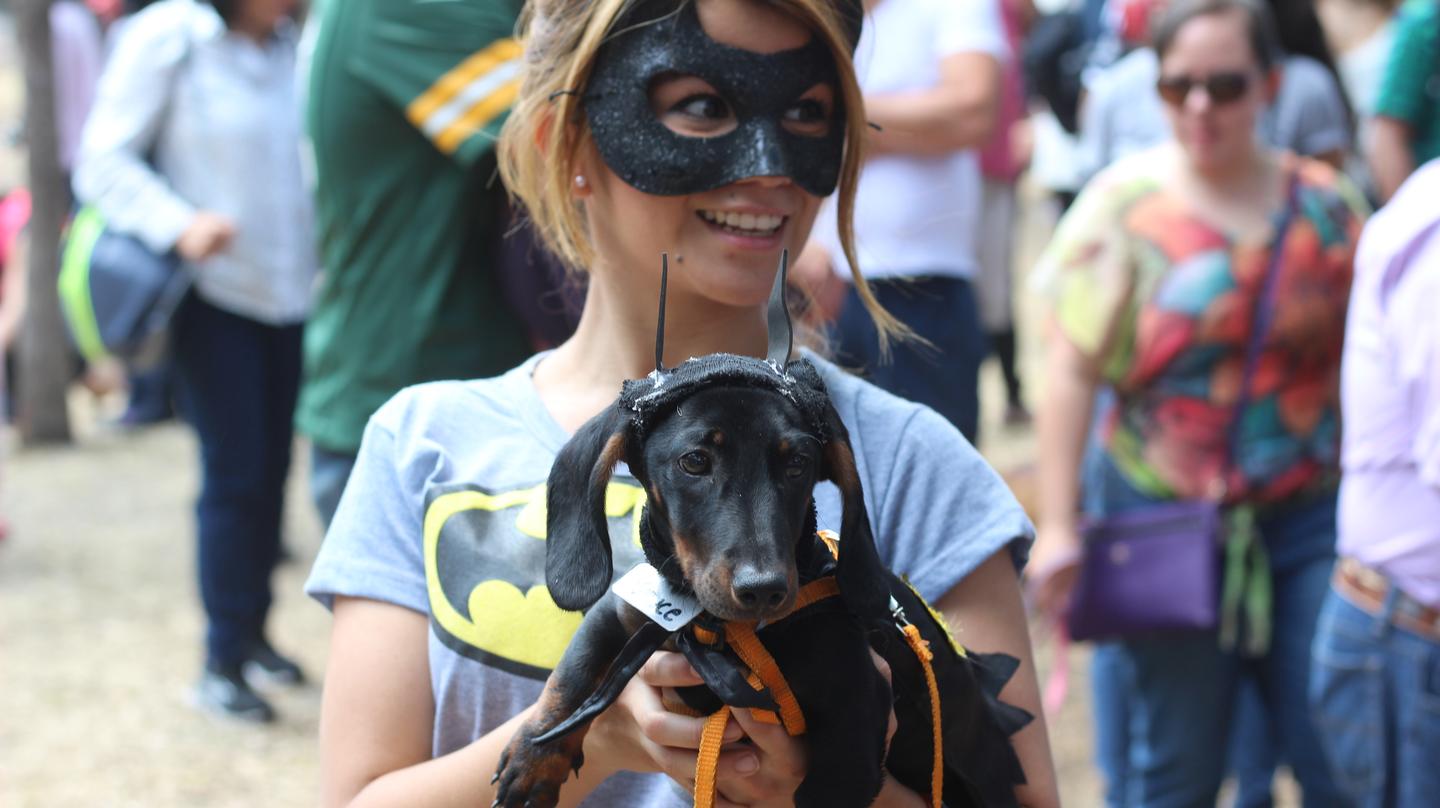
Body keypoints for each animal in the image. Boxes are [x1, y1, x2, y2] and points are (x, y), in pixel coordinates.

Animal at [492, 259, 1025, 806]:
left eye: (799, 464)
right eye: (695, 461)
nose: (763, 589)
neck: (716, 630)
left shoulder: (857, 713)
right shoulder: (630, 614)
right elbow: (572, 672)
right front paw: (534, 758)